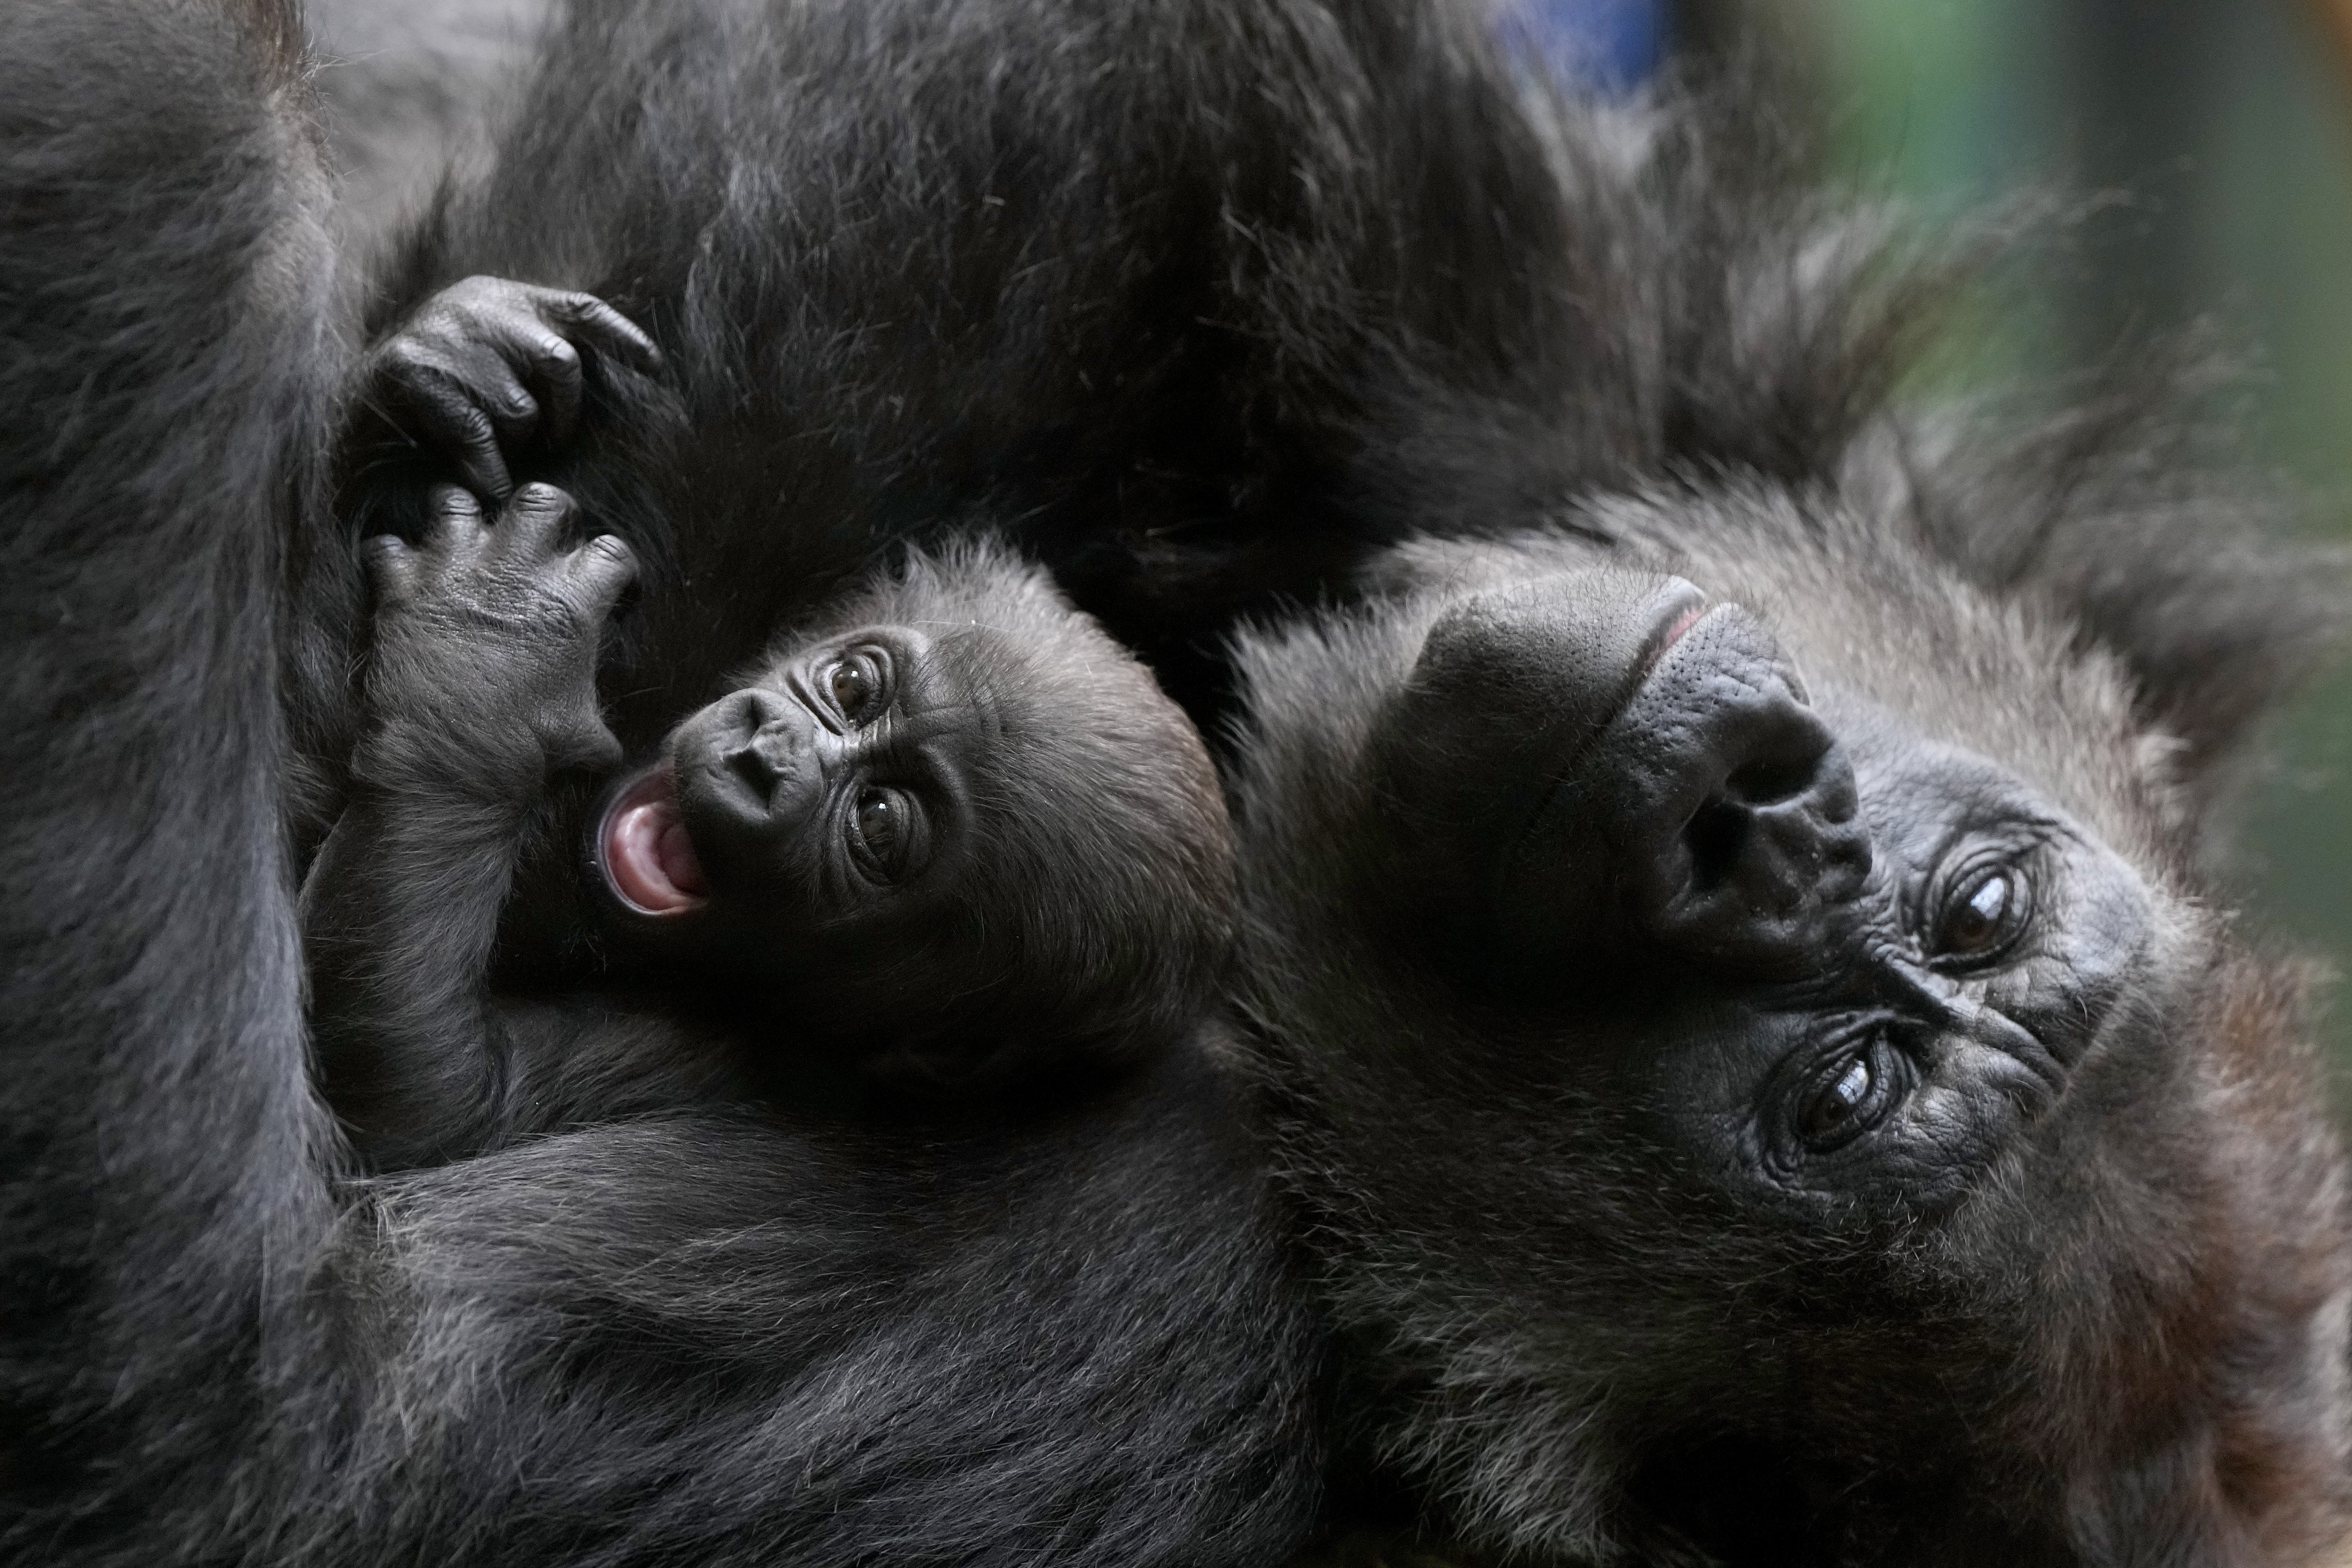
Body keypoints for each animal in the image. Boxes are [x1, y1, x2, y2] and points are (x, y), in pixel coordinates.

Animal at [306, 484, 1232, 1170]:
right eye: (852, 684)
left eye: (877, 820)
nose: (761, 755)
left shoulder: (736, 1059)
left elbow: (437, 1101)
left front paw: (488, 666)